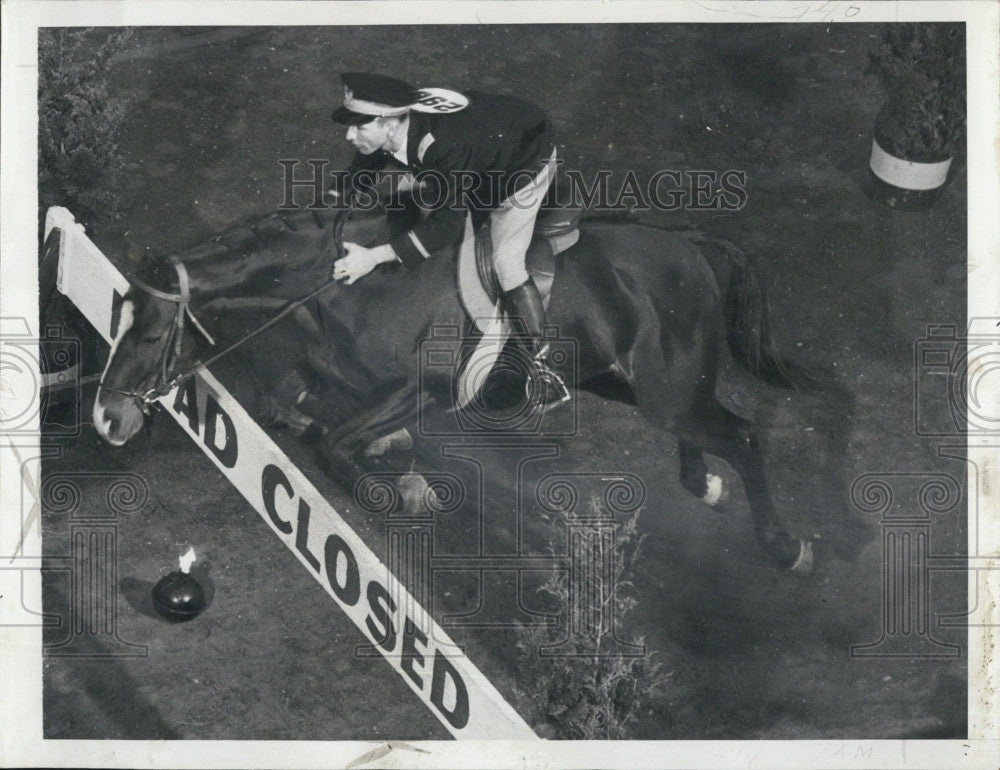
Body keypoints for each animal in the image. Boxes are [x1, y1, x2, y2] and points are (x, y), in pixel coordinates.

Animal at [95, 201, 828, 568]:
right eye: (119, 312)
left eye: (152, 335)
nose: (107, 418)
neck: (347, 283)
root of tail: (691, 245)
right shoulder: (329, 367)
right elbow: (291, 408)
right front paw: (385, 454)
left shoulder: (427, 389)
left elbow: (335, 445)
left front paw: (402, 489)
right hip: (625, 382)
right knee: (710, 432)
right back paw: (704, 482)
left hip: (666, 390)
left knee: (744, 434)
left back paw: (785, 546)